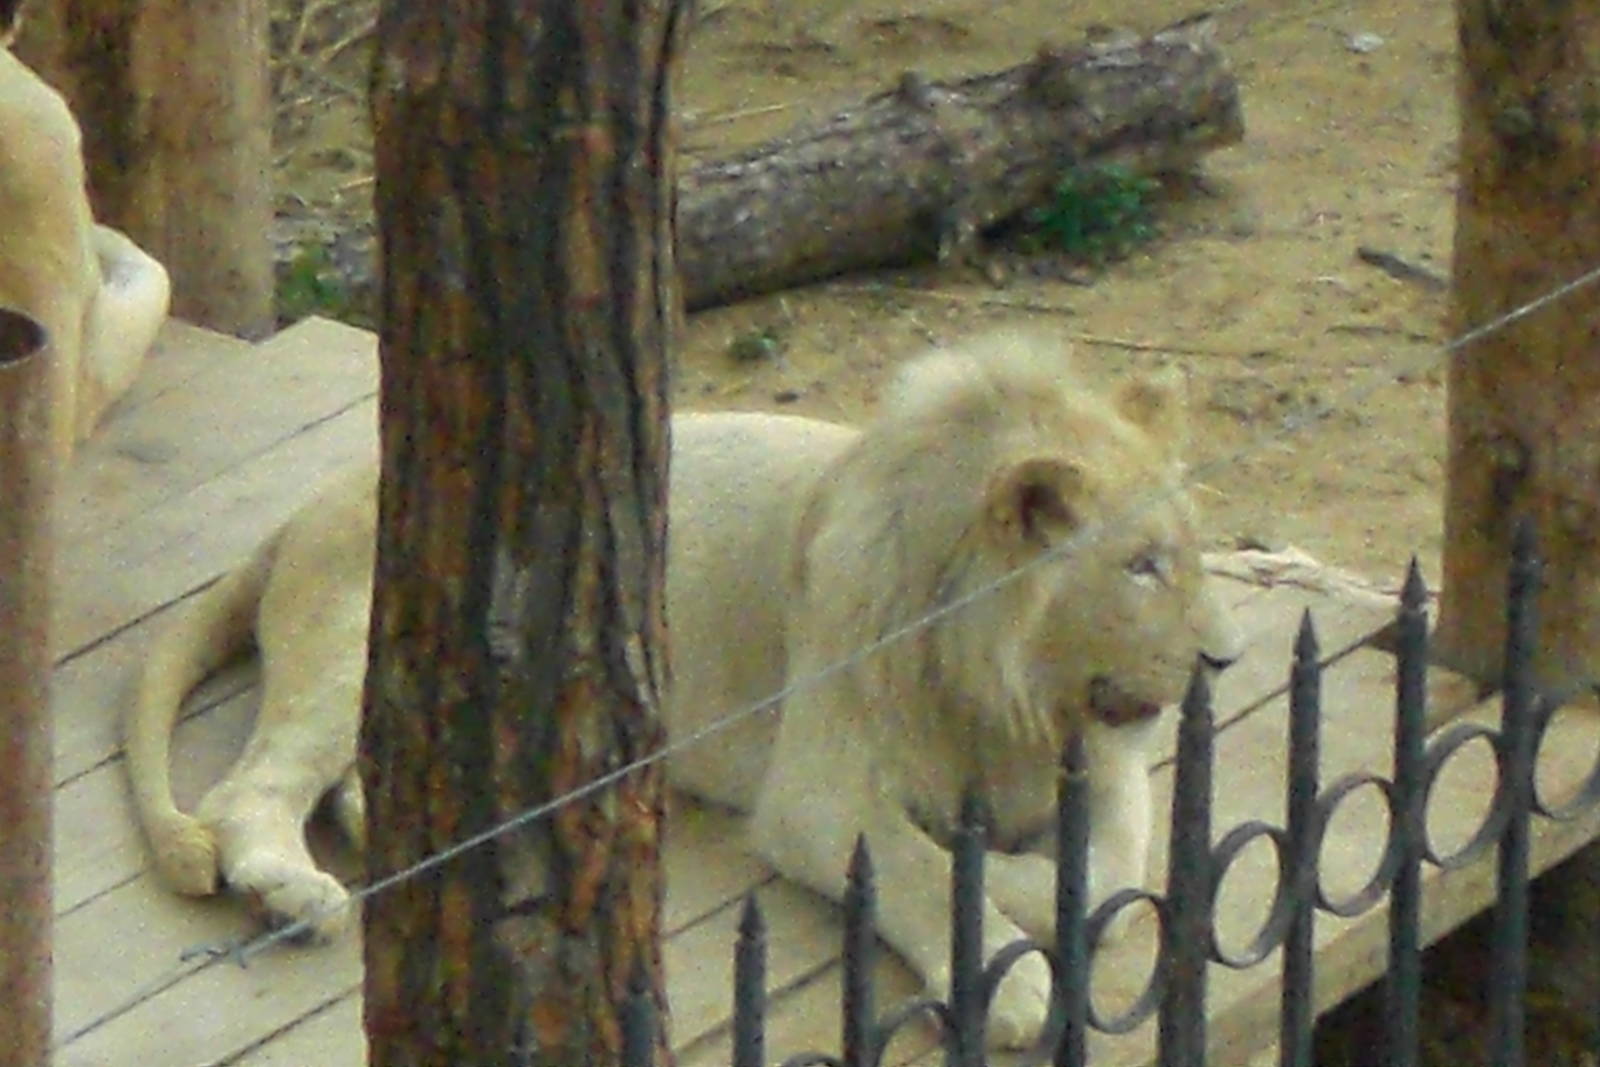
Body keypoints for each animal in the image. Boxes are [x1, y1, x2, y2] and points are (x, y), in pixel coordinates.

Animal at [125, 334, 1240, 1050]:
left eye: (1188, 549)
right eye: (1140, 564)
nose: (1225, 658)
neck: (1011, 687)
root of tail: (304, 507)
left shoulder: (1105, 758)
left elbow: (1107, 871)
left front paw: (1020, 870)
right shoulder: (815, 791)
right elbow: (921, 869)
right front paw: (1011, 965)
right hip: (350, 651)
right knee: (245, 791)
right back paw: (291, 889)